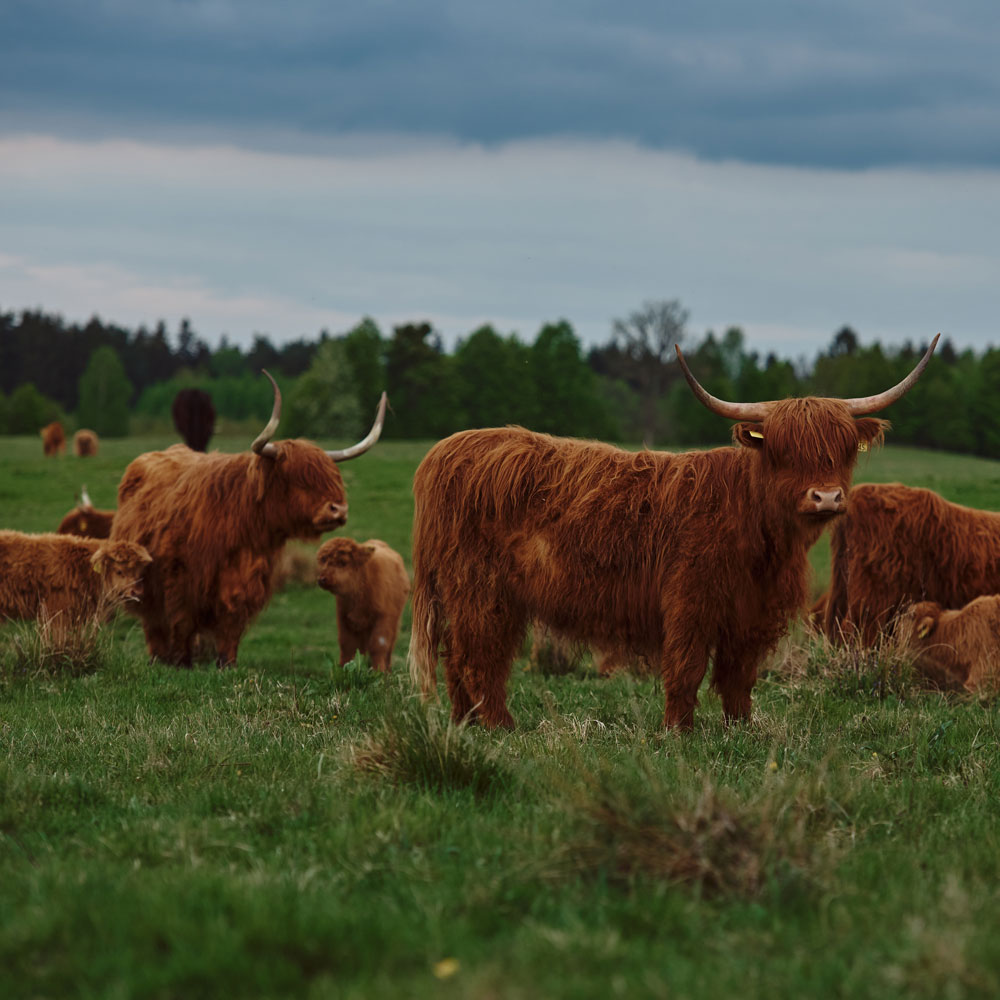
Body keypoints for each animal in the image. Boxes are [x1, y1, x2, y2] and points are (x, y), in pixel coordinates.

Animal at [110, 372, 386, 668]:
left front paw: (227, 663)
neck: (242, 521)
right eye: (297, 477)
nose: (339, 510)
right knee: (153, 622)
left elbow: (231, 622)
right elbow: (181, 622)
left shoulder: (246, 580)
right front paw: (182, 661)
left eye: (333, 477)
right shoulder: (180, 579)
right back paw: (158, 657)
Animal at [316, 540, 410, 672]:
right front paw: (343, 669)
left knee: (390, 646)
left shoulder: (384, 619)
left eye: (343, 562)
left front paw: (379, 671)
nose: (322, 579)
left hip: (395, 622)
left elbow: (379, 646)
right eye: (323, 560)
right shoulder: (344, 619)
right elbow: (347, 646)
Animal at [406, 336, 936, 728]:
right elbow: (686, 668)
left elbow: (739, 676)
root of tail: (446, 450)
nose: (825, 497)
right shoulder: (690, 599)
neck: (761, 536)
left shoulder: (751, 614)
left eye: (844, 449)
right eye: (783, 451)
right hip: (480, 590)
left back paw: (465, 723)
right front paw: (679, 731)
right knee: (477, 656)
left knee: (458, 658)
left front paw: (741, 728)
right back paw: (500, 724)